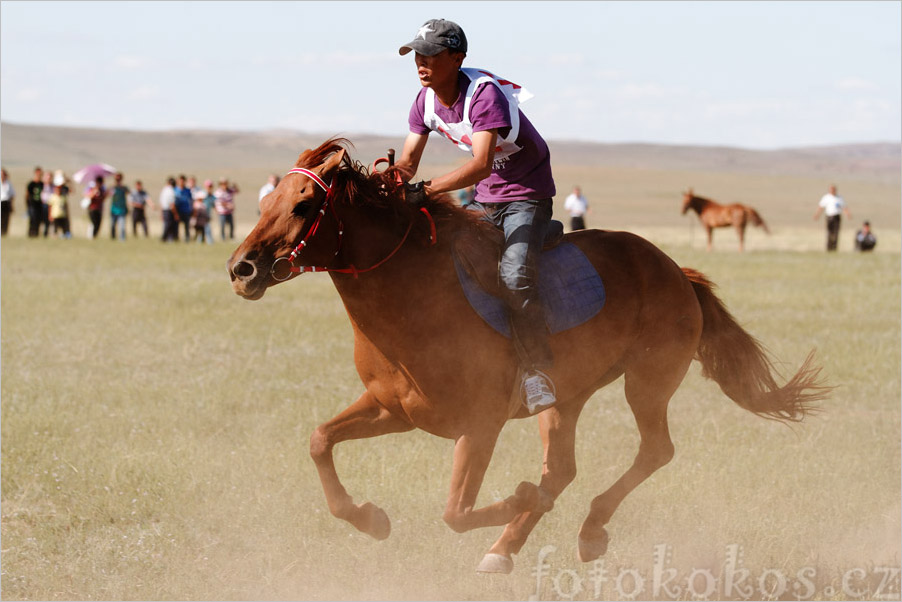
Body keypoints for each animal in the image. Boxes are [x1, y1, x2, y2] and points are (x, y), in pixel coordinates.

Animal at [228, 139, 832, 572]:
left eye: (304, 204)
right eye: (264, 202)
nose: (242, 269)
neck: (414, 296)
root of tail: (676, 271)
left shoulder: (480, 424)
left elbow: (456, 511)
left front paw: (517, 497)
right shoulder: (393, 410)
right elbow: (319, 441)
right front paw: (370, 519)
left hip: (647, 382)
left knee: (652, 452)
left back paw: (583, 529)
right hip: (566, 398)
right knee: (562, 470)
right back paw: (510, 545)